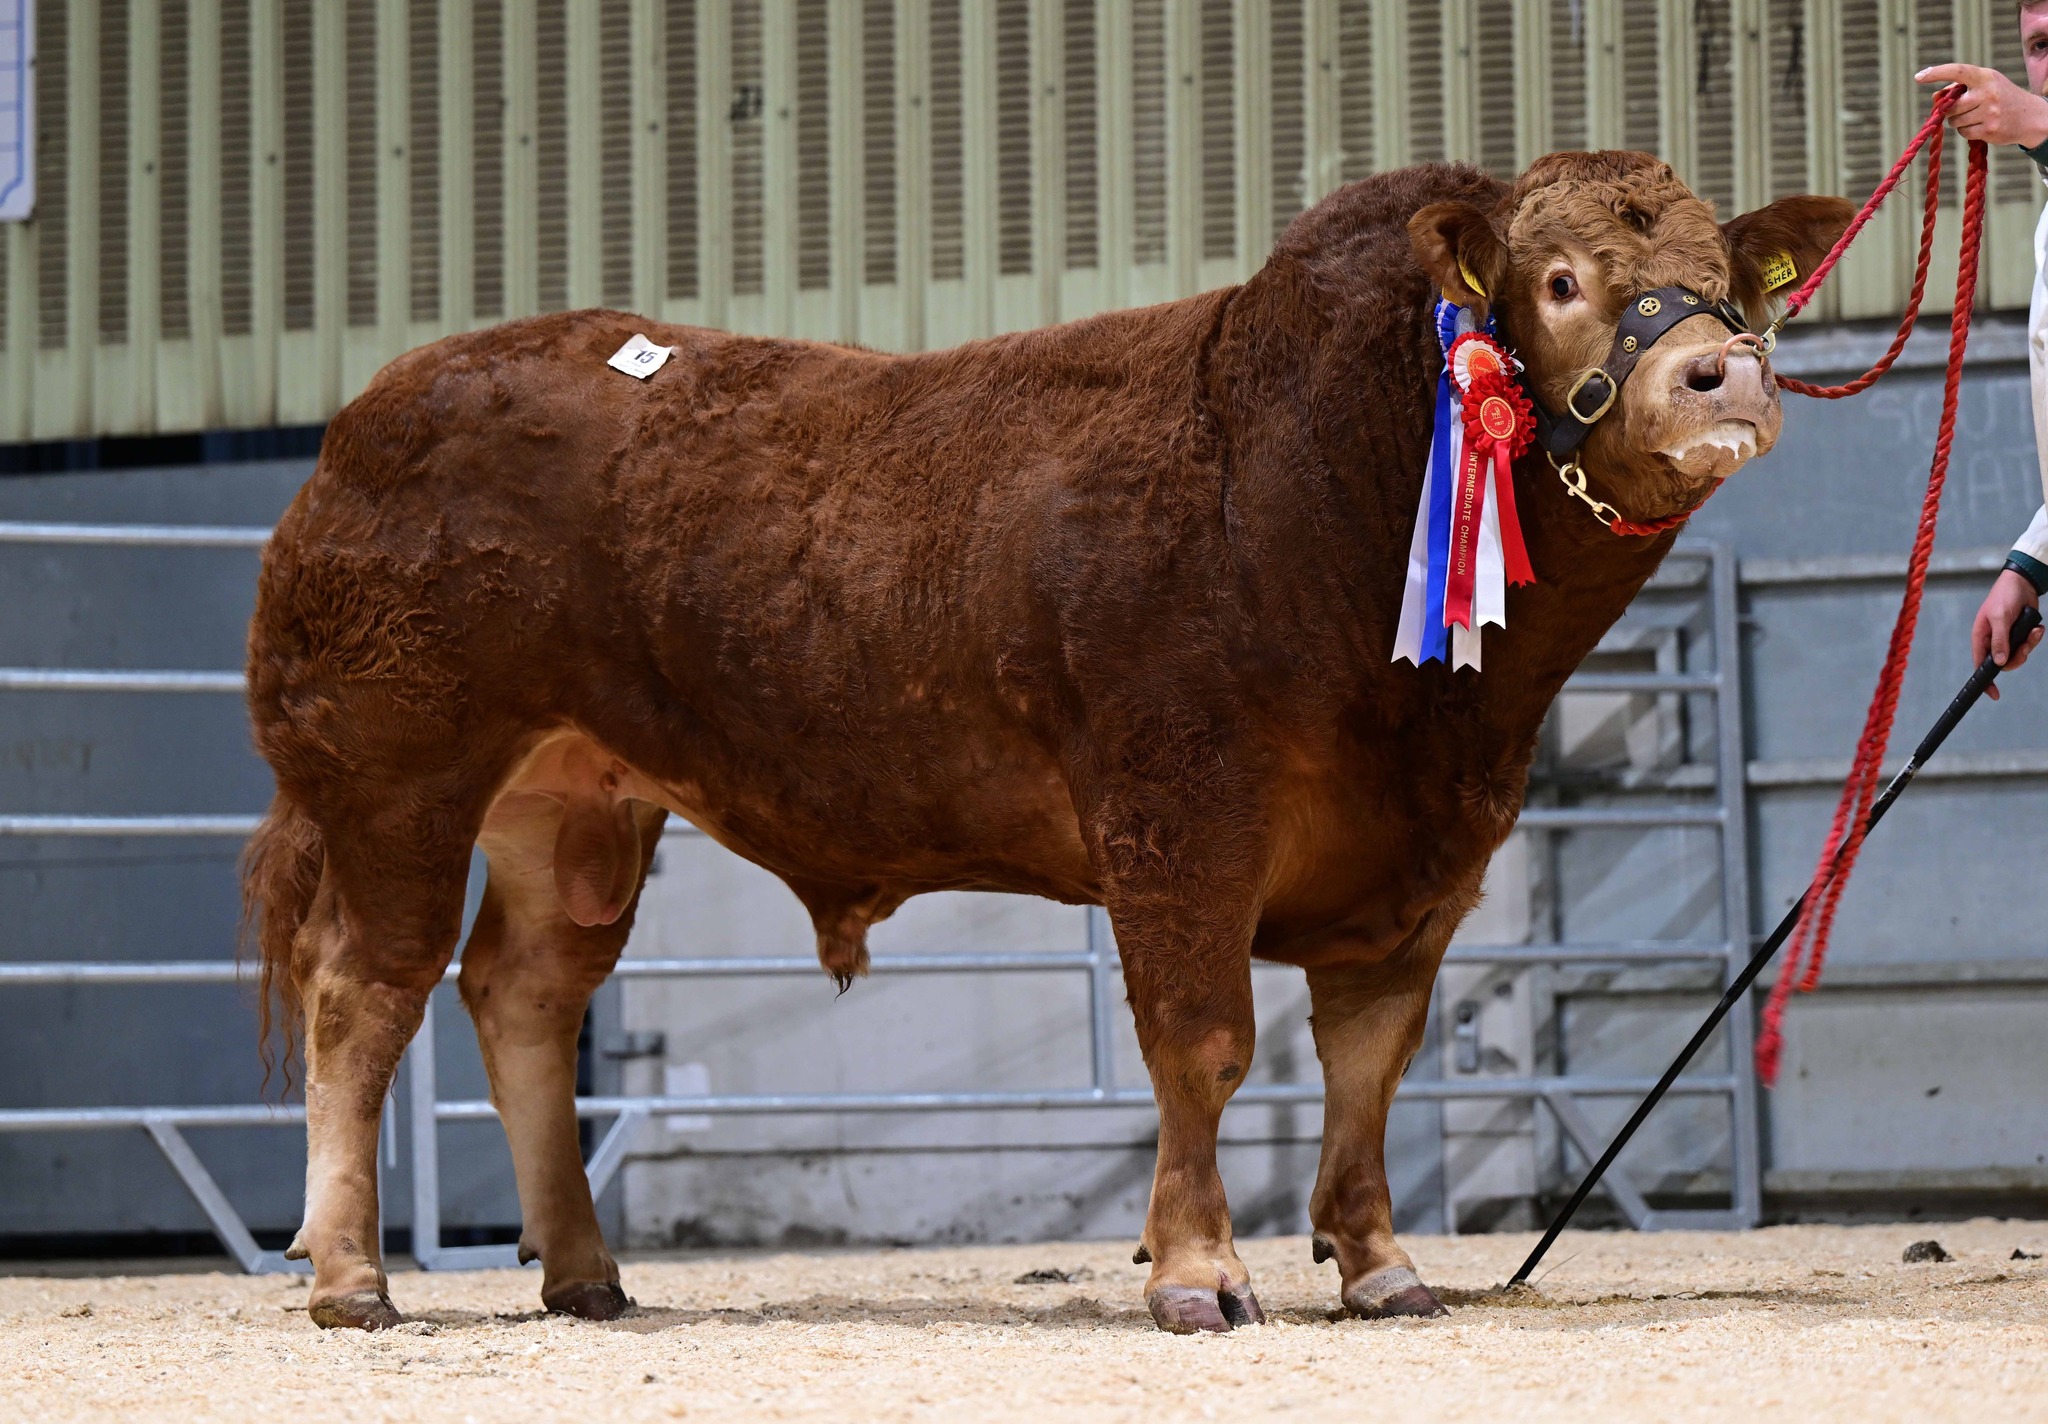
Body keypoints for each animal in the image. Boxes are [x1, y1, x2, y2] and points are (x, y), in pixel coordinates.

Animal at [241, 151, 1851, 1334]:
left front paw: (1382, 1265)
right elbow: (1203, 1041)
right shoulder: (1178, 812)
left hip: (573, 803)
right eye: (1562, 281)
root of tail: (370, 418)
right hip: (397, 775)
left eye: (1723, 281)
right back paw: (350, 1277)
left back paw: (582, 1272)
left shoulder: (1423, 862)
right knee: (364, 992)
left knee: (521, 991)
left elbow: (1368, 1067)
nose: (1722, 374)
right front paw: (1199, 1273)